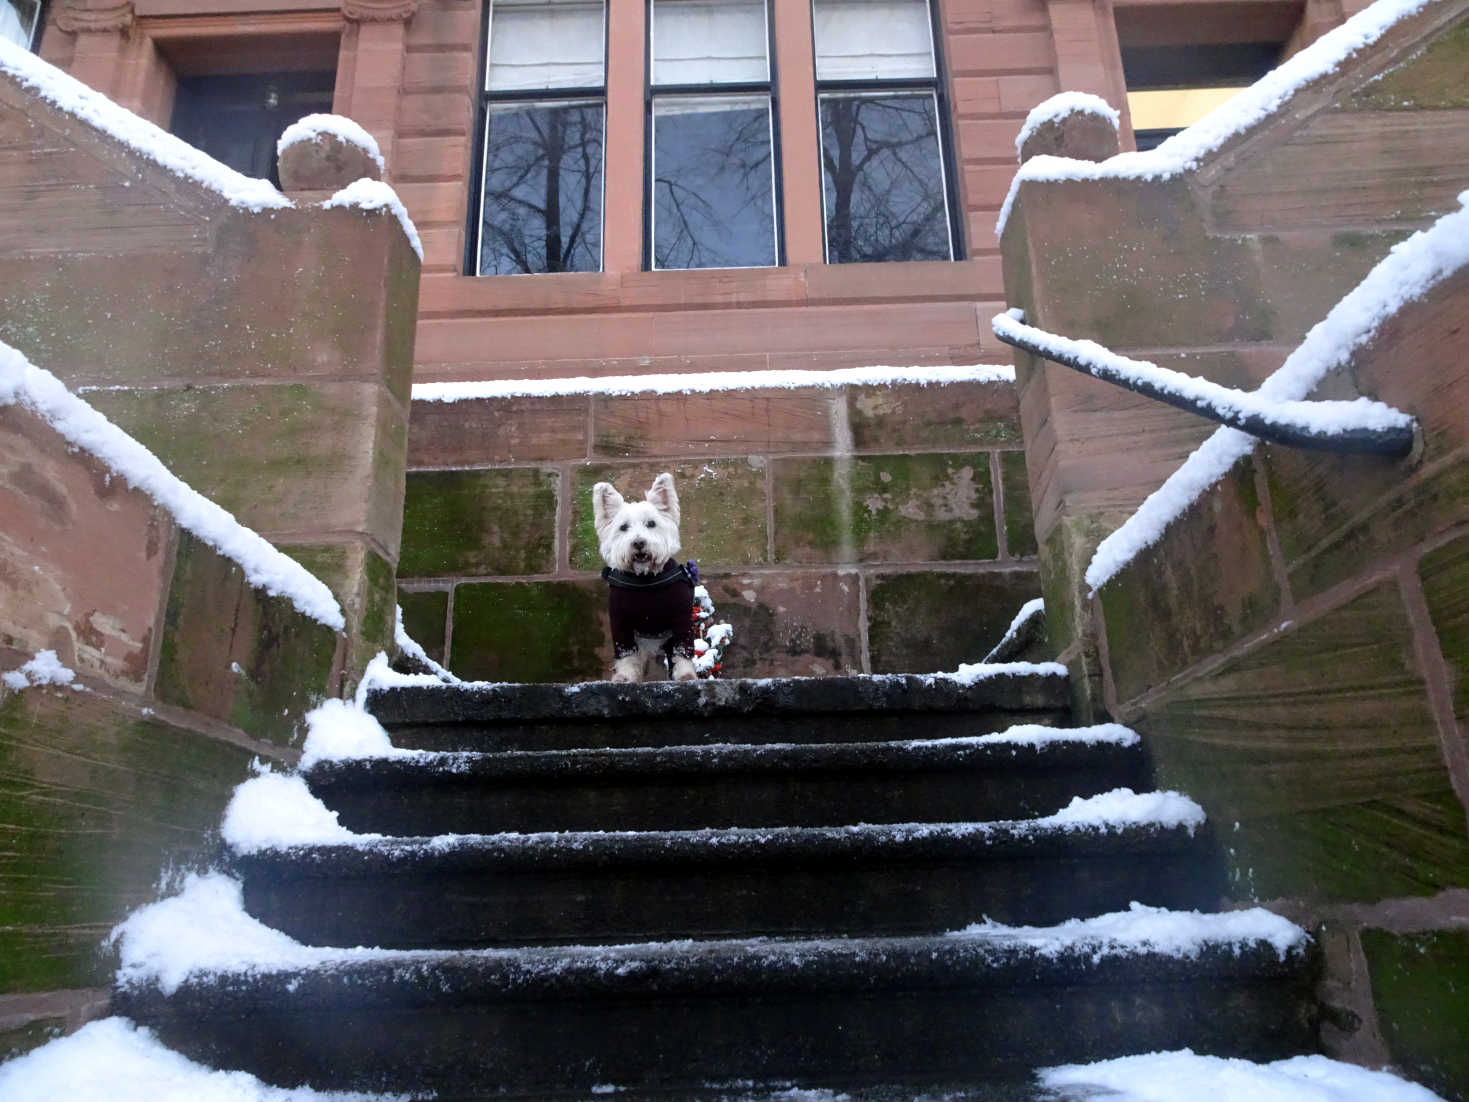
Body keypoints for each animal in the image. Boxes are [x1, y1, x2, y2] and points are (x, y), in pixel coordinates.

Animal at [587, 473, 696, 681]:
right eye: (623, 527)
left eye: (651, 523)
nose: (638, 543)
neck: (645, 580)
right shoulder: (621, 624)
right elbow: (626, 654)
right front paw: (625, 676)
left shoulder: (681, 620)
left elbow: (682, 650)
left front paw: (686, 675)